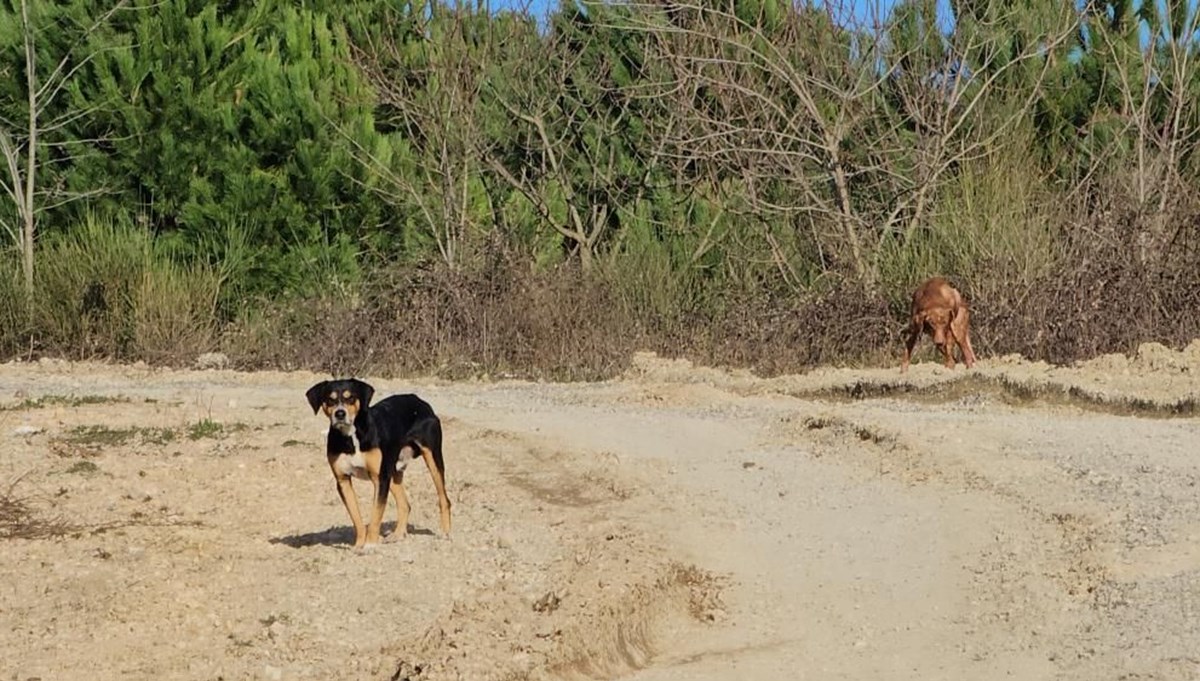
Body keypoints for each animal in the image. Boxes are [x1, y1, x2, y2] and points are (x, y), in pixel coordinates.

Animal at [304, 378, 451, 549]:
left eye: (350, 397)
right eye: (330, 399)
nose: (340, 413)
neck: (351, 437)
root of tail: (420, 401)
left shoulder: (378, 478)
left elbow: (375, 515)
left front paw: (370, 545)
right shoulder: (343, 480)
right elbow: (356, 517)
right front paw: (359, 544)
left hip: (432, 459)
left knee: (444, 500)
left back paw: (445, 533)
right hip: (391, 470)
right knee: (405, 505)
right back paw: (397, 535)